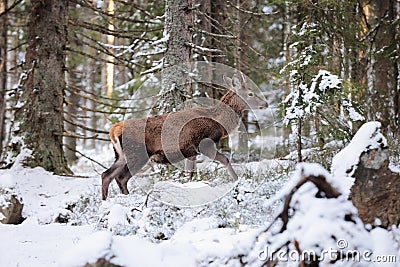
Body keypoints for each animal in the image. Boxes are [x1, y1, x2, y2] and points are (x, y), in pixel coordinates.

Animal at [101, 74, 268, 200]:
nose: (266, 103)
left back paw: (105, 201)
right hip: (138, 153)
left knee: (106, 175)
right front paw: (237, 181)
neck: (219, 123)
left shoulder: (190, 152)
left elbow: (189, 174)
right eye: (251, 93)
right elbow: (225, 159)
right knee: (121, 178)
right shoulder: (204, 144)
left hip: (121, 156)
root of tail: (114, 130)